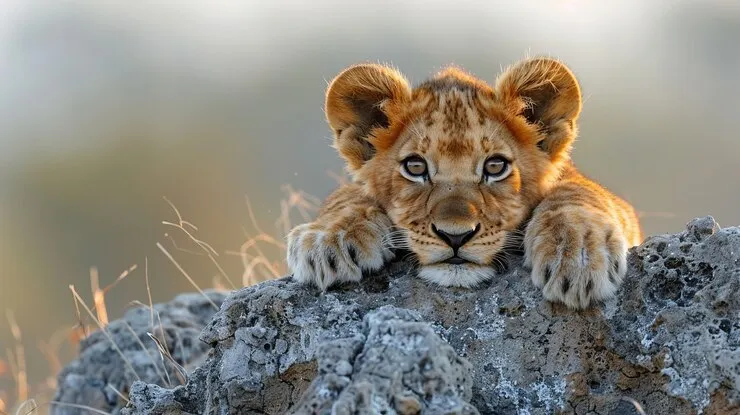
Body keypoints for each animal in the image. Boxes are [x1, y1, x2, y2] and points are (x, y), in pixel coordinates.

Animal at [286, 57, 642, 309]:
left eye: (495, 166)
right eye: (415, 167)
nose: (455, 236)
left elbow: (576, 191)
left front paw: (577, 253)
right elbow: (350, 193)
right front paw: (328, 238)